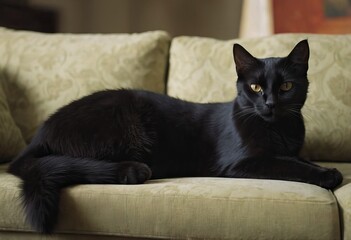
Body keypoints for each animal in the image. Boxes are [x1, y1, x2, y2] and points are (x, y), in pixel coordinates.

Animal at [7, 39, 344, 234]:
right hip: (124, 125)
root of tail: (40, 134)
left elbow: (298, 159)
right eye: (255, 87)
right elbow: (288, 164)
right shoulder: (242, 163)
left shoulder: (290, 148)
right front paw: (329, 175)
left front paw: (321, 168)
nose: (270, 104)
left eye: (286, 86)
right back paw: (132, 172)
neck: (278, 129)